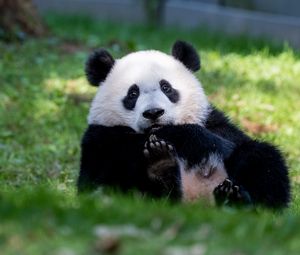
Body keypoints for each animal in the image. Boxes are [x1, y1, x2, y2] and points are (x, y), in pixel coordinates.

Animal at [77, 39, 290, 207]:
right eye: (133, 93)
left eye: (166, 87)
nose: (154, 113)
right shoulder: (101, 136)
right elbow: (99, 173)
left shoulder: (211, 121)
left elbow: (232, 144)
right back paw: (160, 165)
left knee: (263, 160)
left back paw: (234, 197)